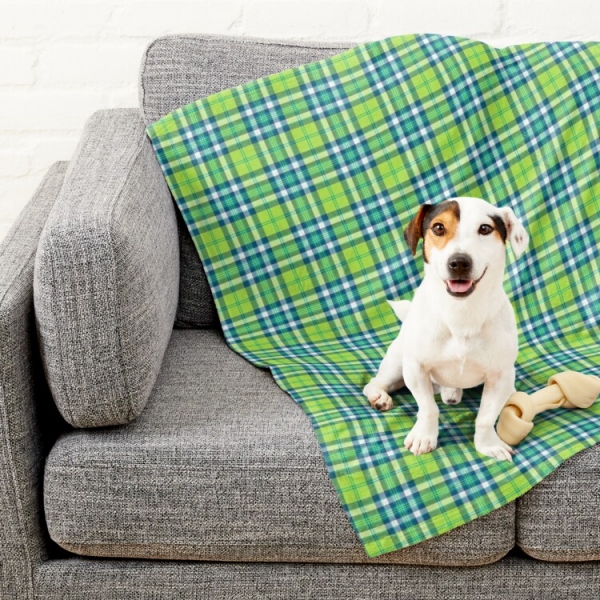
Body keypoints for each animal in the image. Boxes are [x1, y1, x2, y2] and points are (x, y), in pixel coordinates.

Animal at [364, 197, 528, 460]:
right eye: (439, 228)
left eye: (485, 228)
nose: (459, 262)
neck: (461, 315)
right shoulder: (416, 368)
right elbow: (428, 408)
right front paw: (424, 437)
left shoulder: (500, 376)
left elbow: (486, 417)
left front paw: (488, 444)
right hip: (397, 364)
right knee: (374, 382)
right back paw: (379, 396)